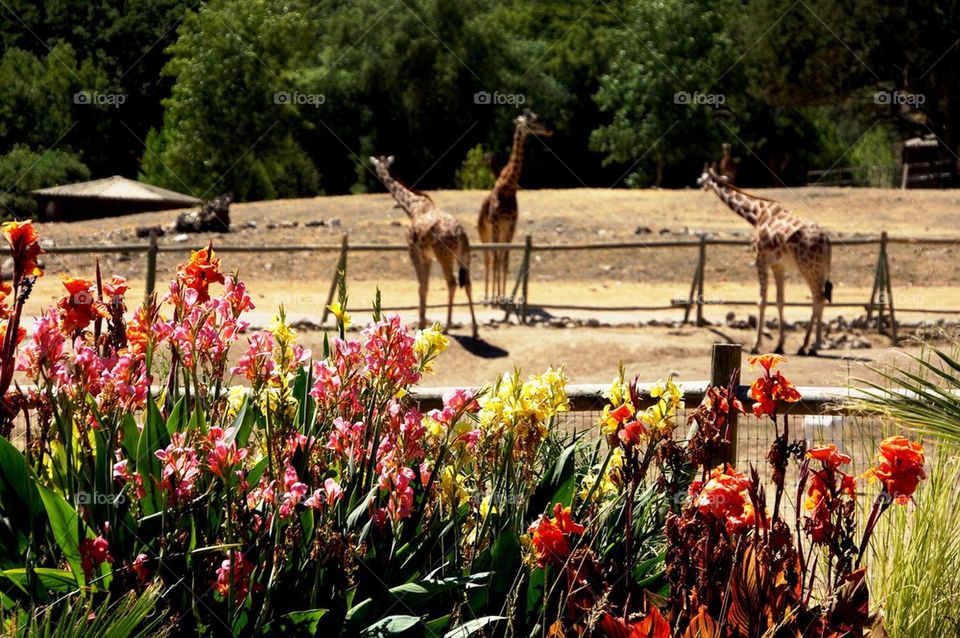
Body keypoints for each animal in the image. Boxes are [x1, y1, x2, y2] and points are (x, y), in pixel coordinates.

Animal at [370, 155, 478, 338]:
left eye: (377, 168)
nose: (378, 177)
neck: (412, 206)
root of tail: (461, 234)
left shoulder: (413, 250)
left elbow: (421, 286)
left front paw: (420, 324)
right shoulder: (428, 256)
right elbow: (425, 286)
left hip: (444, 256)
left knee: (452, 283)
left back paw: (448, 326)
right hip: (465, 256)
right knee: (468, 284)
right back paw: (475, 330)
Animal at [478, 110, 552, 301]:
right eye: (534, 120)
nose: (550, 130)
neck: (508, 187)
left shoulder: (511, 225)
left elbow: (505, 260)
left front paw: (504, 296)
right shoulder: (496, 224)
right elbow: (497, 259)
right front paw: (495, 298)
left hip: (501, 231)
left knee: (496, 257)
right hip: (484, 231)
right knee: (488, 258)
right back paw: (487, 296)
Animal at [698, 166, 832, 355]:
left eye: (703, 177)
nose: (699, 183)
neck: (756, 213)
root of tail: (827, 242)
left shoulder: (760, 259)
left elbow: (762, 300)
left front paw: (756, 346)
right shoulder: (778, 265)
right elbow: (780, 301)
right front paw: (780, 345)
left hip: (808, 268)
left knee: (818, 298)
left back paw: (810, 345)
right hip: (820, 270)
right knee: (820, 299)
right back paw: (813, 345)